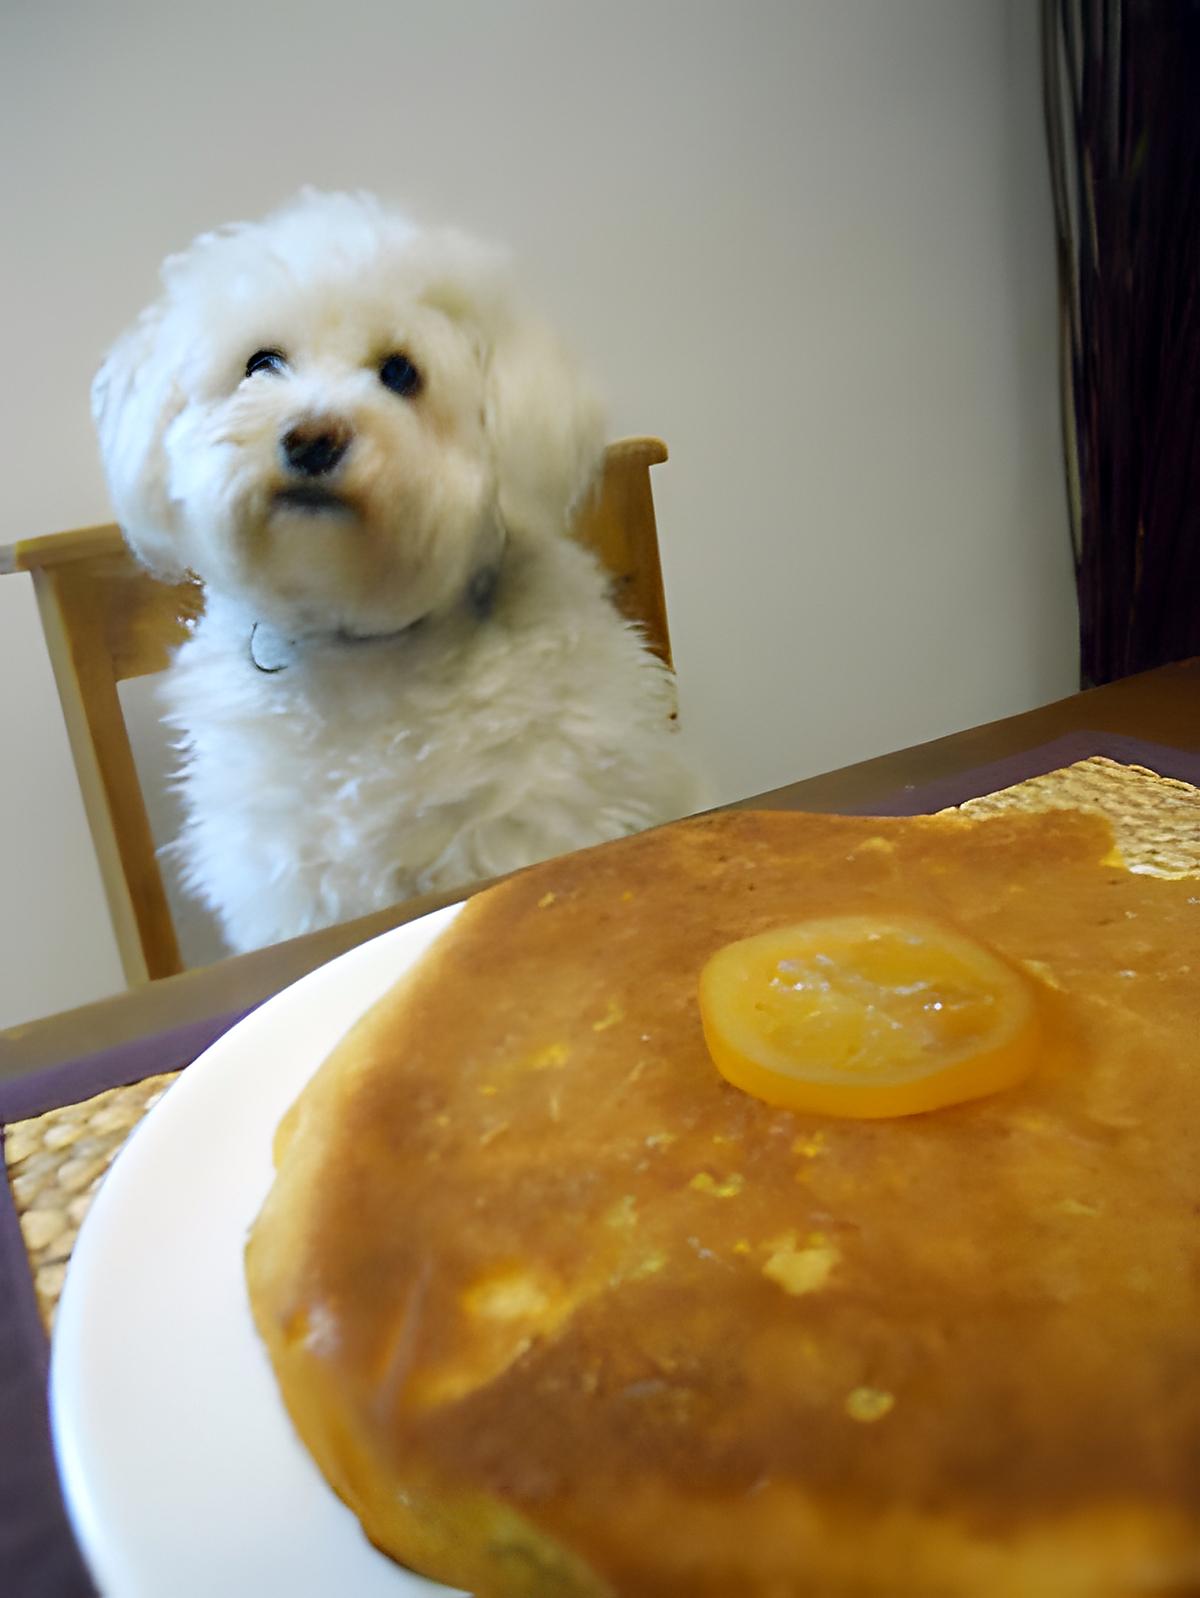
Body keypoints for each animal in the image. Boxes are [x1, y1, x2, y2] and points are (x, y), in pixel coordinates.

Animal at [96, 193, 703, 952]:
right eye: (260, 362)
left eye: (400, 372)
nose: (312, 438)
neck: (360, 642)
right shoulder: (291, 884)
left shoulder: (525, 825)